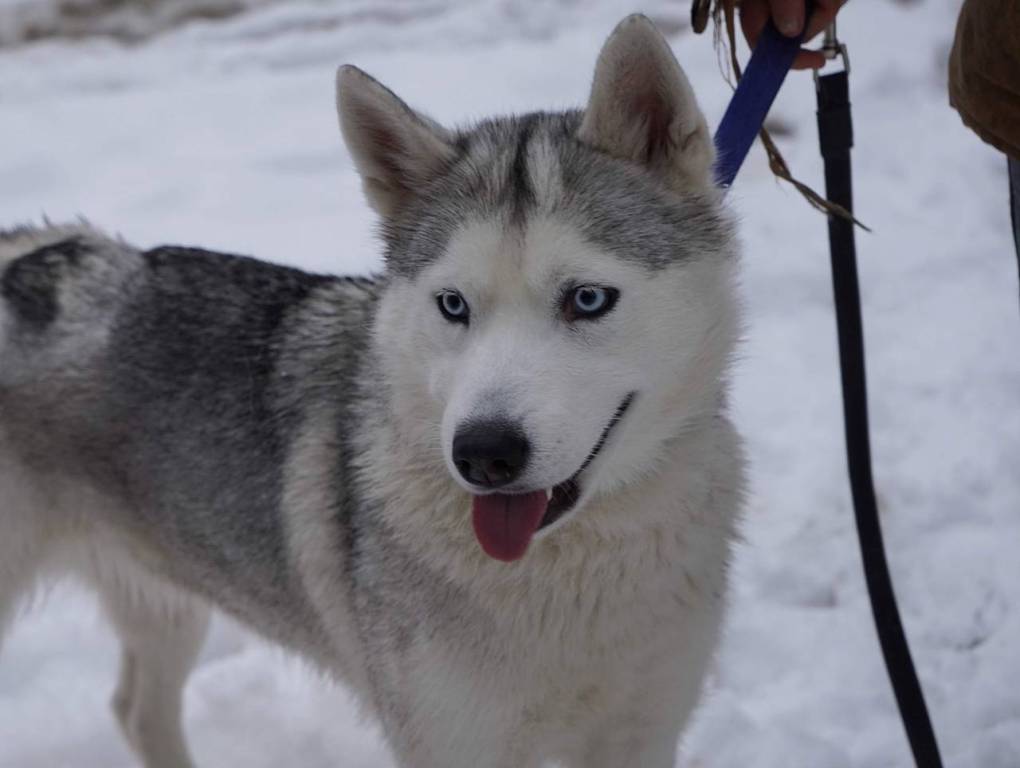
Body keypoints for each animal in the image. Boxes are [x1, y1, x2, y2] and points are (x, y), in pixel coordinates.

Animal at [3, 13, 746, 766]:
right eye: (453, 305)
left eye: (588, 299)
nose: (484, 454)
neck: (568, 571)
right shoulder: (450, 741)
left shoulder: (643, 731)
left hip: (168, 598)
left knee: (137, 709)